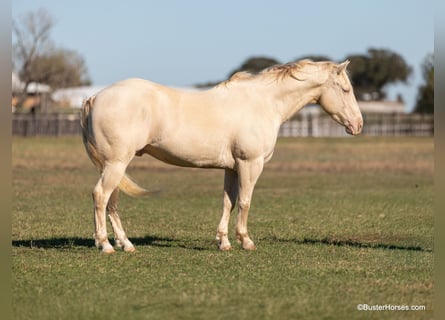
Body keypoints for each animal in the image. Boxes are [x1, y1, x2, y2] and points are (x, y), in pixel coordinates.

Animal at [81, 60, 362, 254]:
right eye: (346, 89)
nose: (358, 125)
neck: (263, 103)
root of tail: (95, 97)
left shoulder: (232, 168)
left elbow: (229, 202)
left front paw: (223, 242)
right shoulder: (250, 164)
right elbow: (246, 202)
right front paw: (245, 241)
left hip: (112, 165)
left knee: (111, 202)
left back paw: (125, 244)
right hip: (116, 164)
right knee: (101, 196)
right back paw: (105, 245)